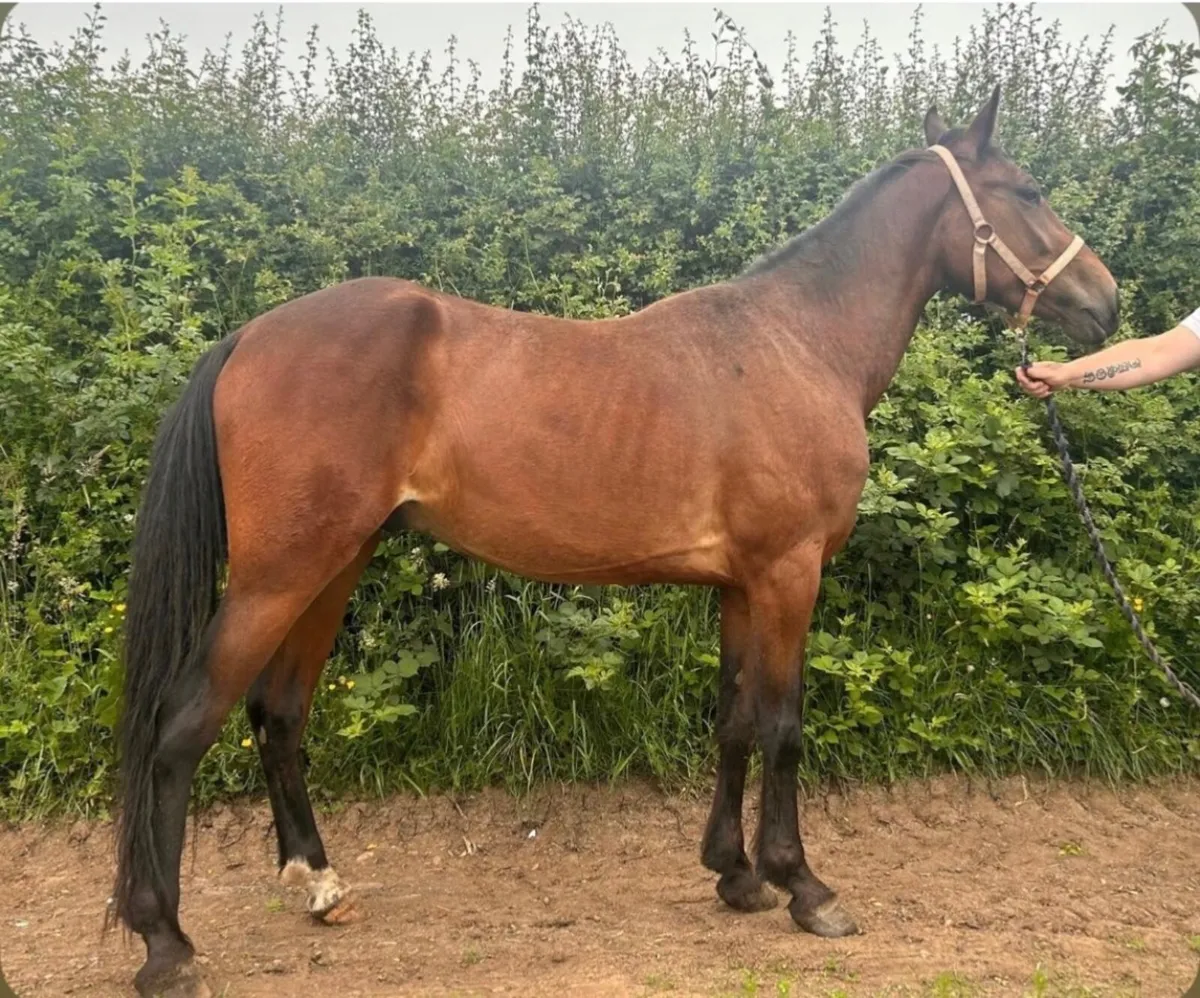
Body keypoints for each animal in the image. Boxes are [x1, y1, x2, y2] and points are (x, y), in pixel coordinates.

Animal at [110, 86, 1119, 997]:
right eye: (1027, 191)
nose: (1106, 302)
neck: (797, 342)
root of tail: (248, 337)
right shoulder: (788, 574)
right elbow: (785, 727)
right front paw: (804, 886)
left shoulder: (740, 585)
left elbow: (734, 721)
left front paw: (735, 874)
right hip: (279, 576)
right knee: (183, 724)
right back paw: (166, 945)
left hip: (333, 565)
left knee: (278, 713)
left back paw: (318, 884)